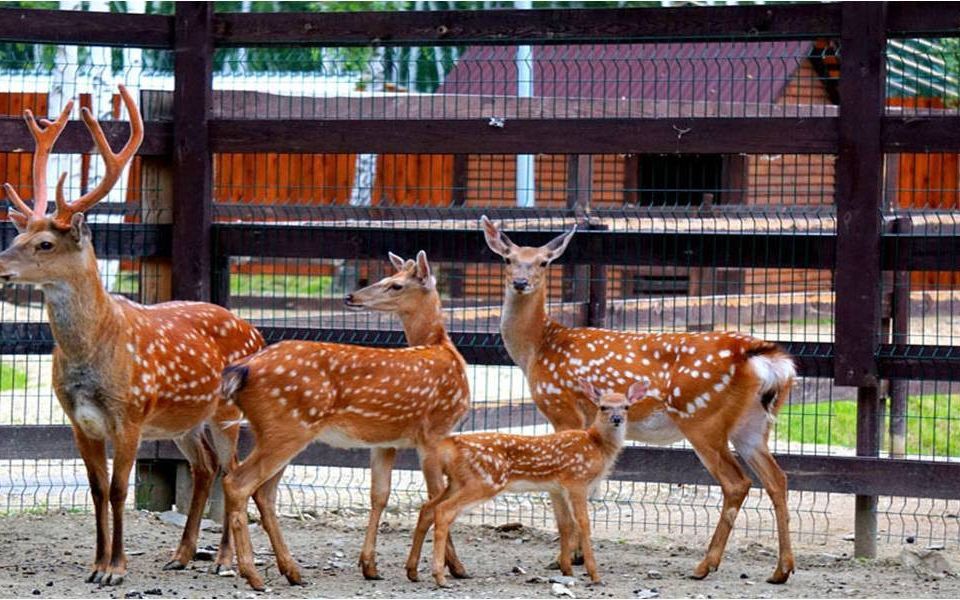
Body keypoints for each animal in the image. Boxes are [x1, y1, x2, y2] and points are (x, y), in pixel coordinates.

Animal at [0, 85, 266, 584]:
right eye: (16, 236)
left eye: (44, 243)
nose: (1, 265)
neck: (93, 352)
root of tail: (254, 331)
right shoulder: (79, 420)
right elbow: (97, 489)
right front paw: (95, 563)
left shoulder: (130, 415)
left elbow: (121, 488)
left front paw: (116, 568)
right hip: (184, 419)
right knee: (204, 468)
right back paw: (180, 554)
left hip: (225, 411)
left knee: (231, 470)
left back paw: (223, 560)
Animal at [218, 250, 472, 592]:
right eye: (386, 279)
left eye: (396, 284)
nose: (351, 296)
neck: (444, 349)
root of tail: (242, 370)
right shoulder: (433, 431)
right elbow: (435, 496)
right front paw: (451, 567)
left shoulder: (386, 441)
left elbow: (380, 495)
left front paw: (370, 566)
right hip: (288, 428)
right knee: (238, 483)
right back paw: (254, 574)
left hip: (275, 431)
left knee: (263, 492)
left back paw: (292, 571)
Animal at [402, 378, 648, 588]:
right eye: (603, 407)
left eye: (626, 406)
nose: (617, 419)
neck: (597, 446)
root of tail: (449, 447)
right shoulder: (576, 481)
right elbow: (584, 523)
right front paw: (594, 575)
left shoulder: (555, 488)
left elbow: (564, 525)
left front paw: (567, 570)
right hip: (484, 480)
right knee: (443, 511)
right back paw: (440, 577)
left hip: (457, 482)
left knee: (427, 508)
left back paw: (413, 572)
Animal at [484, 217, 800, 584]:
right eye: (508, 259)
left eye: (544, 262)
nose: (520, 282)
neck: (538, 349)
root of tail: (766, 359)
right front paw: (575, 556)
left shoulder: (562, 407)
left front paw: (570, 557)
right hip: (753, 424)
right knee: (777, 479)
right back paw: (781, 569)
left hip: (702, 418)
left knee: (738, 482)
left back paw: (705, 565)